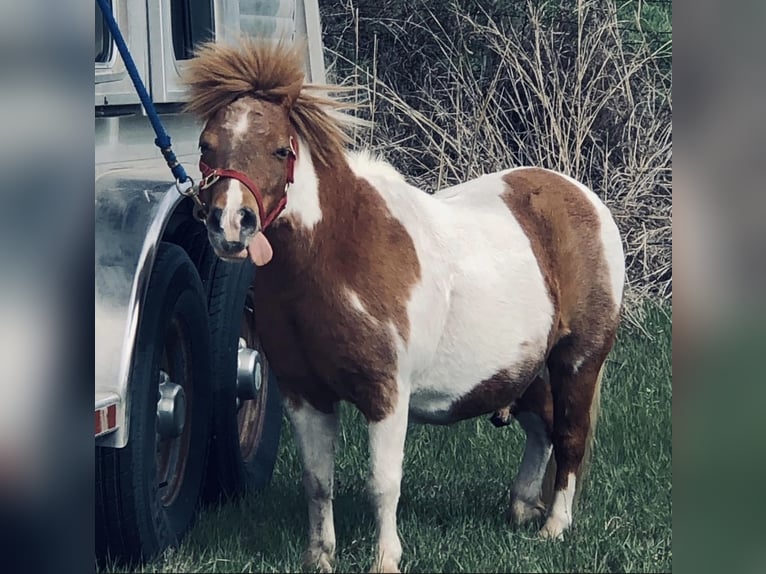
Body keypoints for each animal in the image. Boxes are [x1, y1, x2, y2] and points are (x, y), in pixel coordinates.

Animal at [182, 39, 625, 573]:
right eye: (205, 146)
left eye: (280, 150)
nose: (230, 225)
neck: (335, 255)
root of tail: (583, 199)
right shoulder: (304, 394)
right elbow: (318, 482)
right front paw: (320, 558)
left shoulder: (386, 394)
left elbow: (383, 484)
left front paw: (385, 559)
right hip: (526, 367)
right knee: (541, 426)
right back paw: (522, 508)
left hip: (578, 360)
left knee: (569, 436)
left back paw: (554, 526)